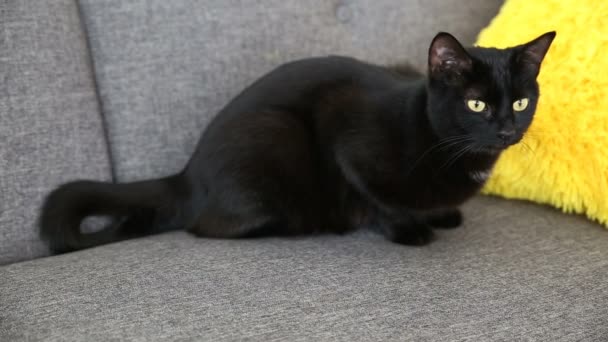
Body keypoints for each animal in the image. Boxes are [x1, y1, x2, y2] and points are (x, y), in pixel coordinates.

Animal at [39, 30, 556, 252]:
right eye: (476, 104)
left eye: (520, 102)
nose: (506, 130)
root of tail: (187, 173)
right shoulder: (347, 138)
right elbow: (381, 201)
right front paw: (409, 229)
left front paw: (443, 214)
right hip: (275, 135)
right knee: (208, 226)